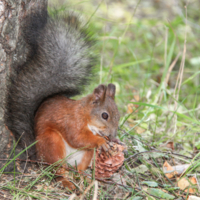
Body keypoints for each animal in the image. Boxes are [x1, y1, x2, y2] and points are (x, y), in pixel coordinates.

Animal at [3, 9, 119, 188]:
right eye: (104, 115)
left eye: (118, 115)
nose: (113, 136)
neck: (86, 115)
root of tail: (38, 155)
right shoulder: (71, 122)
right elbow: (77, 137)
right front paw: (101, 142)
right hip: (52, 143)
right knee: (57, 170)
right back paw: (66, 181)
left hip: (85, 155)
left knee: (77, 170)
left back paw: (83, 179)